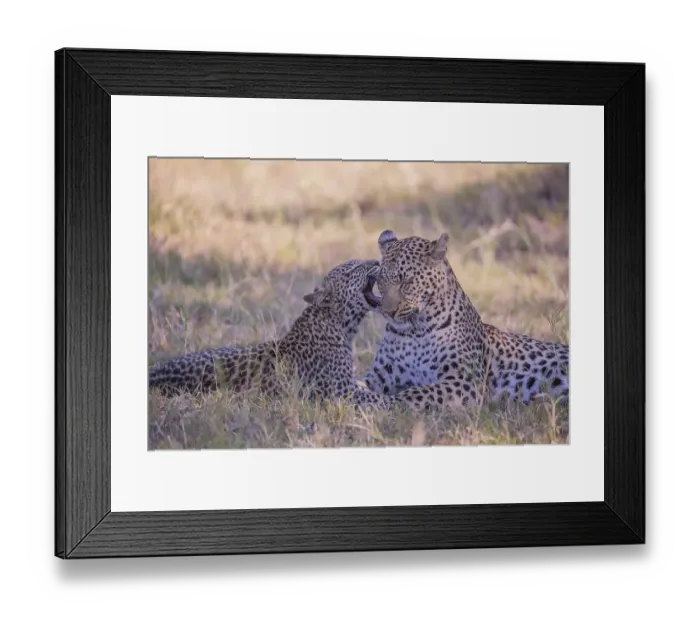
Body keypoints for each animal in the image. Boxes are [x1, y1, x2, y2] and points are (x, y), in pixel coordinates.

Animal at [149, 258, 389, 409]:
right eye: (354, 269)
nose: (377, 262)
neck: (342, 326)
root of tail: (157, 372)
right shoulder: (341, 390)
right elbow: (380, 399)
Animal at [361, 230, 569, 411]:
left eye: (407, 282)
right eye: (381, 281)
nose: (388, 312)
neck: (415, 331)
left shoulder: (466, 380)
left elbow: (417, 393)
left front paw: (382, 404)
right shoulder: (379, 376)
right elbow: (356, 384)